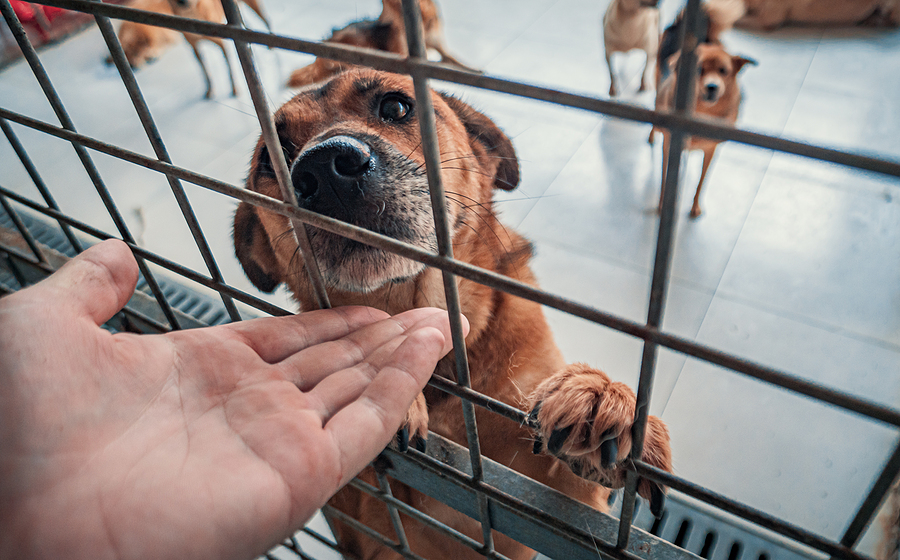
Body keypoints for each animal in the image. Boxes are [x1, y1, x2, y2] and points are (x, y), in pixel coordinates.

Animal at [230, 70, 668, 560]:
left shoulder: (563, 505)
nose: (325, 167)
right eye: (272, 159)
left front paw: (602, 396)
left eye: (396, 106)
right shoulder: (367, 526)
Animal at [288, 0, 474, 88]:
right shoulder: (403, 55)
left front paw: (473, 70)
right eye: (386, 5)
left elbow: (456, 63)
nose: (384, 22)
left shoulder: (440, 49)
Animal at [652, 42, 752, 218]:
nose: (712, 87)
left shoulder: (711, 150)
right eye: (699, 70)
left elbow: (702, 180)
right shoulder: (669, 147)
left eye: (723, 71)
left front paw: (695, 205)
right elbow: (665, 178)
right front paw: (663, 204)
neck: (702, 112)